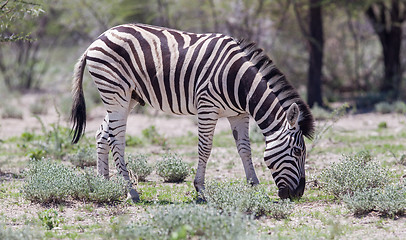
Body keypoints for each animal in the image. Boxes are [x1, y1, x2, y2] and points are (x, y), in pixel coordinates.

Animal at [71, 23, 316, 202]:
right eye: (297, 152)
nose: (298, 194)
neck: (240, 84)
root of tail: (97, 39)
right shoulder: (207, 107)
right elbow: (205, 148)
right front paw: (200, 190)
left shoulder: (238, 114)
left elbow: (245, 149)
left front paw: (253, 185)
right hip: (116, 93)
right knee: (116, 140)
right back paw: (132, 192)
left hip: (127, 97)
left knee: (102, 134)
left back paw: (104, 186)